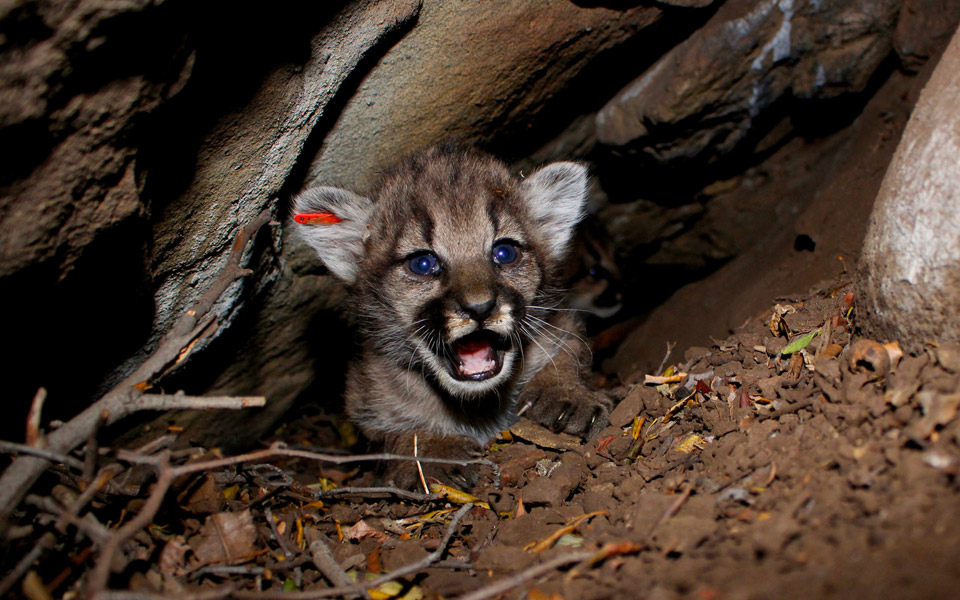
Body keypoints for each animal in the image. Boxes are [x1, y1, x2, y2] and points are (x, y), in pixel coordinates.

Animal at [292, 145, 612, 488]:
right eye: (422, 263)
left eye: (505, 252)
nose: (480, 307)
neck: (478, 405)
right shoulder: (364, 397)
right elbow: (393, 431)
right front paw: (433, 452)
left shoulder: (560, 324)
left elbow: (566, 349)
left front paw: (566, 394)